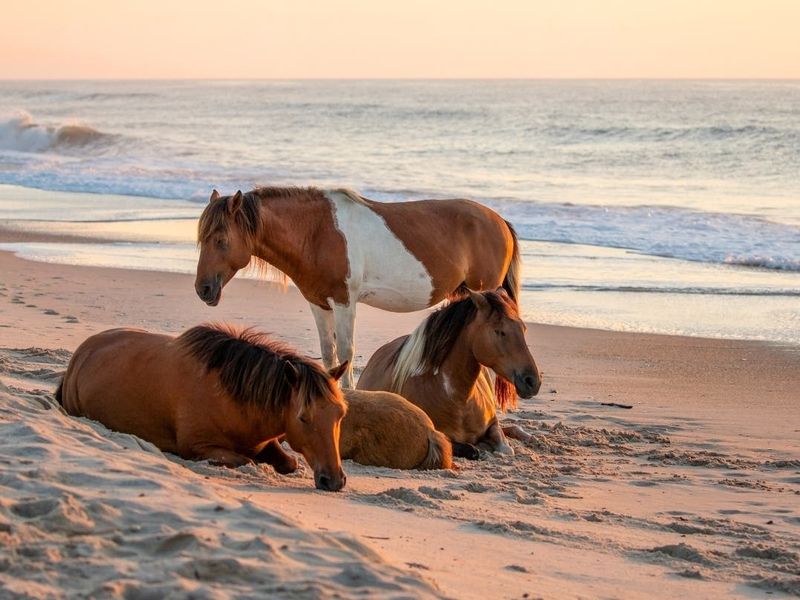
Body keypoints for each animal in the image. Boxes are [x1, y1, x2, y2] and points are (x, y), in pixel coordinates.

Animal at [53, 326, 346, 490]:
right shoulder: (198, 447)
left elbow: (289, 462)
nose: (333, 480)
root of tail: (80, 355)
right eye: (303, 418)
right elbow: (246, 461)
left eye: (341, 415)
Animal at [193, 185, 520, 390]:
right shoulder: (318, 303)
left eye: (221, 240)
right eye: (201, 239)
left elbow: (347, 351)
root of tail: (499, 221)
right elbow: (329, 353)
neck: (317, 233)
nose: (203, 289)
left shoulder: (343, 302)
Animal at [358, 290, 540, 460]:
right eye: (500, 331)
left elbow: (506, 448)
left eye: (523, 329)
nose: (532, 382)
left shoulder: (493, 424)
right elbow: (470, 449)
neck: (458, 399)